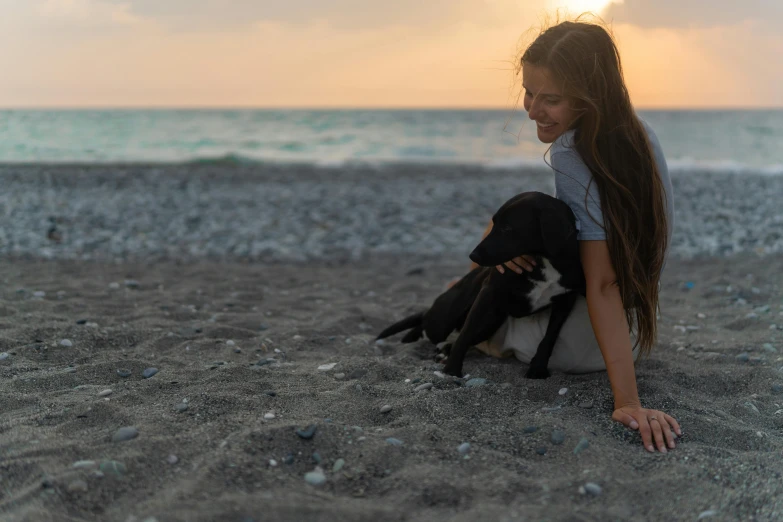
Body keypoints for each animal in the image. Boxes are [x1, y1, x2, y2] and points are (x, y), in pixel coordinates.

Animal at [376, 189, 584, 376]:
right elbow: (465, 335)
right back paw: (414, 337)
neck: (544, 260)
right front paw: (452, 371)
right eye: (494, 223)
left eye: (507, 228)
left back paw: (443, 351)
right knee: (430, 323)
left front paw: (538, 369)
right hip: (448, 319)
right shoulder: (488, 293)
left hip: (489, 323)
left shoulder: (565, 301)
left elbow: (549, 337)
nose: (472, 255)